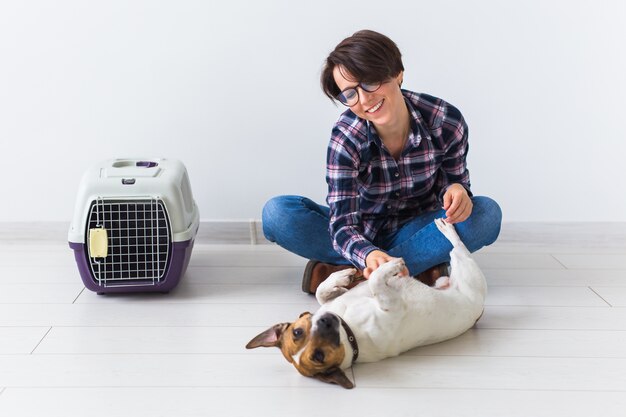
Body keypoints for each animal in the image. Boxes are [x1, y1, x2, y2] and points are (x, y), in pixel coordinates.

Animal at [245, 219, 488, 388]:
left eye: (297, 332)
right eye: (318, 356)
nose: (326, 321)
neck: (349, 326)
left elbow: (323, 292)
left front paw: (340, 278)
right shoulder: (393, 306)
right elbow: (374, 281)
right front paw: (390, 266)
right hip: (466, 269)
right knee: (458, 247)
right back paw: (447, 227)